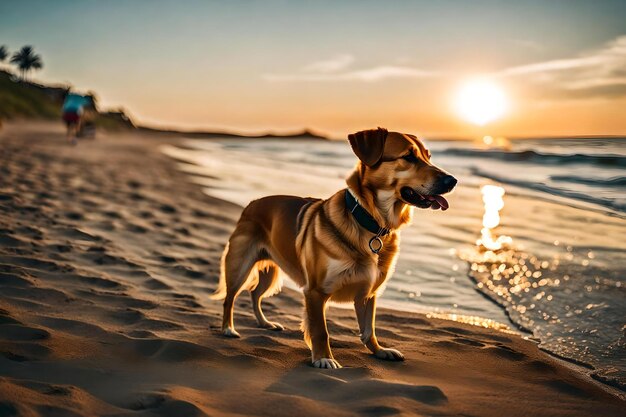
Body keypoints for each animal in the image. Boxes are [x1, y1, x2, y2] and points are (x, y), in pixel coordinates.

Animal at [212, 127, 456, 368]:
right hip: (239, 266)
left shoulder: (368, 293)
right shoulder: (315, 292)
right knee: (229, 298)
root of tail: (252, 203)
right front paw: (324, 358)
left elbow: (369, 329)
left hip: (271, 271)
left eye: (428, 157)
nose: (452, 180)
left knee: (255, 293)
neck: (370, 222)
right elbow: (321, 331)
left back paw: (265, 323)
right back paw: (228, 329)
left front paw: (379, 350)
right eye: (409, 156)